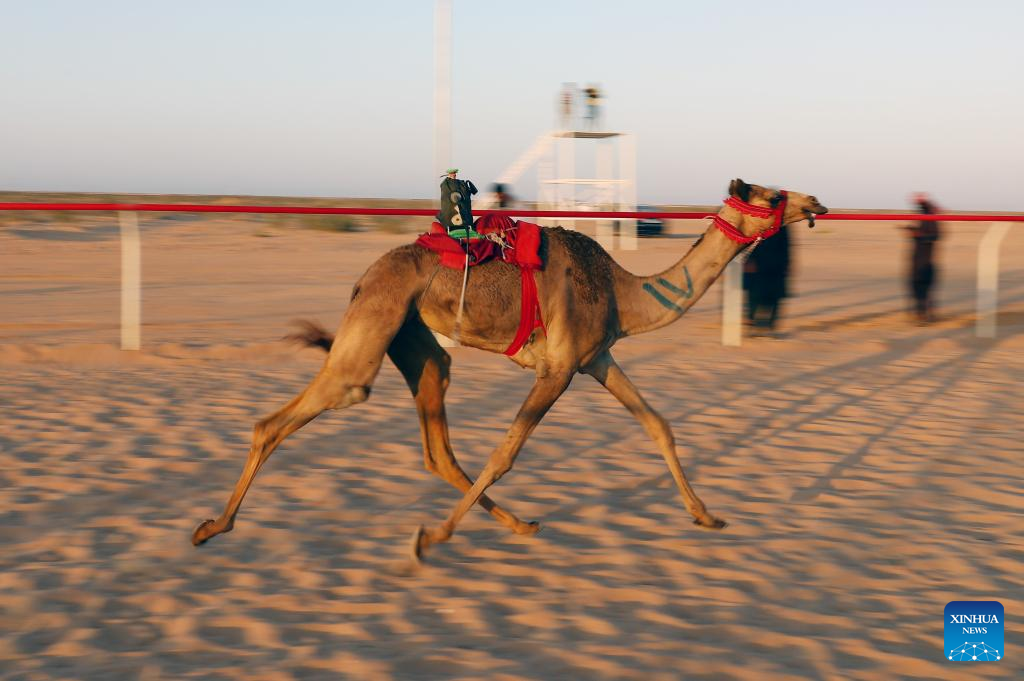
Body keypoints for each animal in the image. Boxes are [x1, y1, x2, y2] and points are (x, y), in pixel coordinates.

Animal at [191, 178, 828, 560]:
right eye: (773, 196)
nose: (815, 202)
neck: (623, 293)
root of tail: (363, 277)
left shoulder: (598, 358)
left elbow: (658, 425)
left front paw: (707, 516)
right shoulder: (559, 370)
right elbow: (505, 453)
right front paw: (431, 537)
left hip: (415, 340)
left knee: (438, 442)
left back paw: (522, 525)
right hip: (374, 324)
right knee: (289, 416)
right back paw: (211, 528)